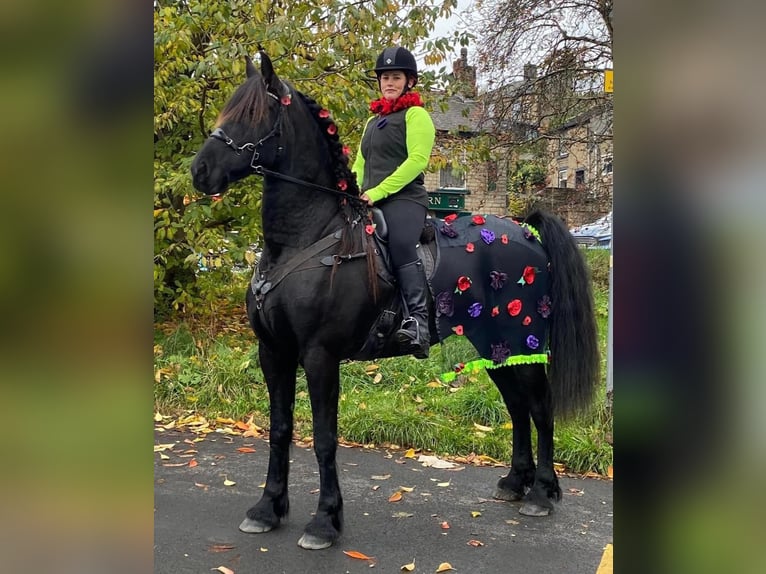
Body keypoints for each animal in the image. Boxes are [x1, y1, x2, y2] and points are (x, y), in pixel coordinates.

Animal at [190, 54, 600, 552]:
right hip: (496, 347)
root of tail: (526, 229)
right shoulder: (275, 352)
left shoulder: (319, 355)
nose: (200, 171)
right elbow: (280, 428)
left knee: (539, 408)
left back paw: (542, 492)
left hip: (522, 340)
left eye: (252, 113)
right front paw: (268, 509)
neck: (304, 238)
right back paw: (515, 483)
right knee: (518, 408)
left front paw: (324, 521)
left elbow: (324, 438)